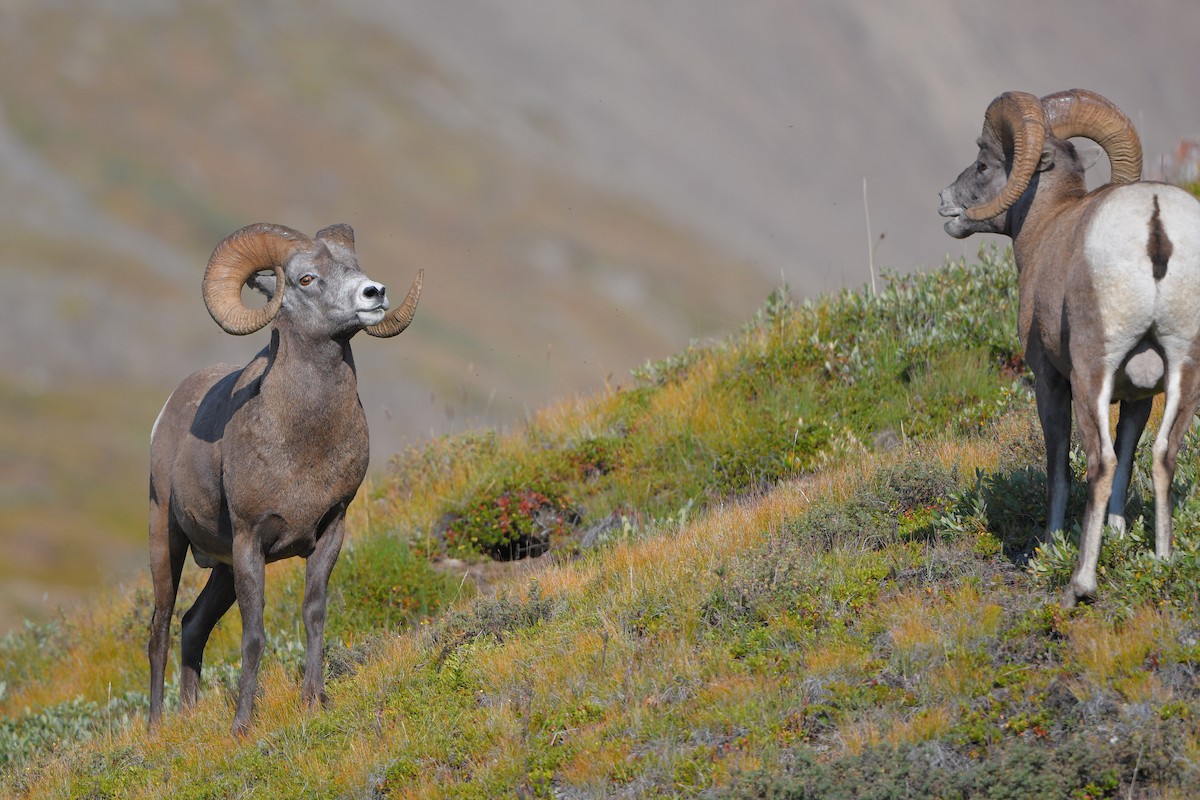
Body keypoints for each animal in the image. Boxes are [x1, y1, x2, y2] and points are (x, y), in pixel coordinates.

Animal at [147, 222, 422, 734]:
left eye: (352, 267)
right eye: (306, 278)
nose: (374, 293)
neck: (303, 442)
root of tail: (167, 411)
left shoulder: (330, 529)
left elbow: (314, 613)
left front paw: (314, 700)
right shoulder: (250, 542)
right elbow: (254, 635)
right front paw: (242, 725)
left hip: (220, 570)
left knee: (192, 625)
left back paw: (188, 716)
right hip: (166, 540)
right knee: (160, 628)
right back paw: (156, 728)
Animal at [938, 89, 1200, 606]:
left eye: (983, 163)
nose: (945, 204)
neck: (1046, 227)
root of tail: (1155, 221)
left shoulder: (1050, 380)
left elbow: (1058, 464)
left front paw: (1050, 542)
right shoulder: (1140, 395)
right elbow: (1131, 453)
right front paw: (1118, 533)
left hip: (1091, 373)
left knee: (1100, 461)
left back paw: (1080, 583)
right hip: (1186, 370)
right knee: (1163, 454)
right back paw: (1162, 563)